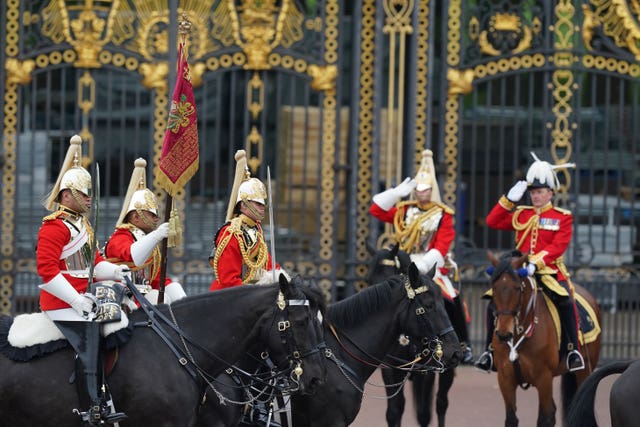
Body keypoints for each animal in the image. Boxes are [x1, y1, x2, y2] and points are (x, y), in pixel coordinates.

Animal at [370, 244, 464, 427]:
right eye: (370, 280)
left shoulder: (427, 371)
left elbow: (424, 414)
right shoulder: (390, 368)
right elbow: (394, 411)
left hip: (448, 369)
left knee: (441, 403)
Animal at [488, 252, 604, 426]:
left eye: (517, 288)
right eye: (494, 288)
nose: (503, 334)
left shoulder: (544, 378)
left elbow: (544, 418)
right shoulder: (505, 378)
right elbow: (511, 418)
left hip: (584, 371)